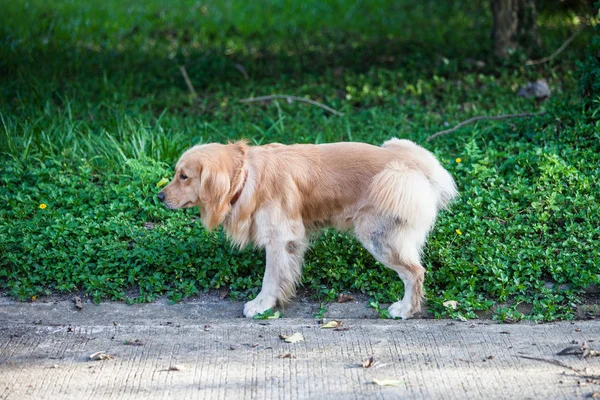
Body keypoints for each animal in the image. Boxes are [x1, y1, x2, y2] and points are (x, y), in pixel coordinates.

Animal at [157, 138, 458, 318]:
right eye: (176, 174)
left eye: (184, 176)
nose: (158, 196)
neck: (244, 176)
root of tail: (410, 165)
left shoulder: (279, 238)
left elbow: (270, 277)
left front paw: (261, 304)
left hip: (378, 237)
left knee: (414, 273)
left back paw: (406, 309)